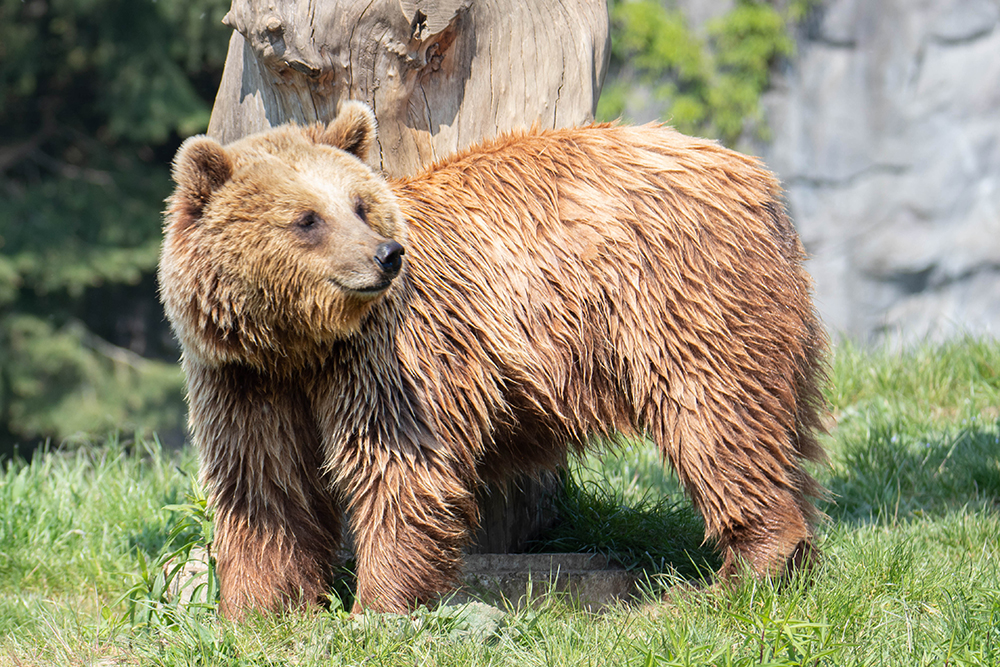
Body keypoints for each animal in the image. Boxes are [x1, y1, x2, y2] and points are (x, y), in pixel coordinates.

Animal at [158, 102, 828, 620]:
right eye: (306, 218)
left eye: (360, 205)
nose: (386, 255)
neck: (301, 341)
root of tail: (758, 179)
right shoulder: (245, 379)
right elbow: (265, 485)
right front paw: (256, 610)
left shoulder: (384, 359)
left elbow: (400, 467)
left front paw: (376, 605)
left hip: (683, 298)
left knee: (716, 418)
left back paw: (729, 580)